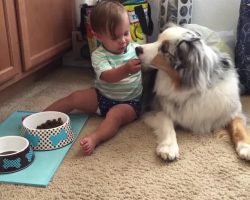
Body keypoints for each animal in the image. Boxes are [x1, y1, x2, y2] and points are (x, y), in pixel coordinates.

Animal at [136, 23, 250, 161]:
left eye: (164, 49)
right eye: (157, 39)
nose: (136, 48)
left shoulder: (231, 109)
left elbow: (239, 126)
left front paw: (246, 147)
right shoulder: (152, 108)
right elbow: (166, 120)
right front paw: (169, 147)